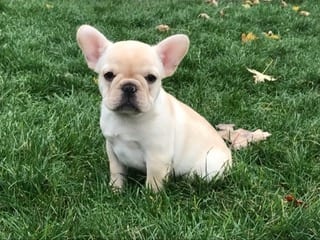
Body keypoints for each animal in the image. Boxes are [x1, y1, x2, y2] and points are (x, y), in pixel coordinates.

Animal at [76, 24, 231, 191]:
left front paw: (150, 196)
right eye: (108, 75)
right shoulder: (112, 150)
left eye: (151, 78)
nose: (129, 87)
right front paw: (115, 189)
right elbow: (116, 172)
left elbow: (153, 181)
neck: (128, 118)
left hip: (208, 167)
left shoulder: (157, 157)